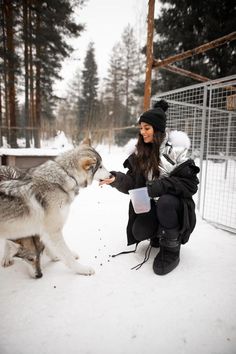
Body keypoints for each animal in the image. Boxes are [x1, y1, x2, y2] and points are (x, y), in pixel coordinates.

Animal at [0, 145, 110, 276]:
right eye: (100, 166)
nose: (111, 175)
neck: (67, 175)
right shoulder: (53, 230)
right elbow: (67, 255)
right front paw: (82, 269)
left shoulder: (44, 230)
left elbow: (50, 247)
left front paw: (56, 256)